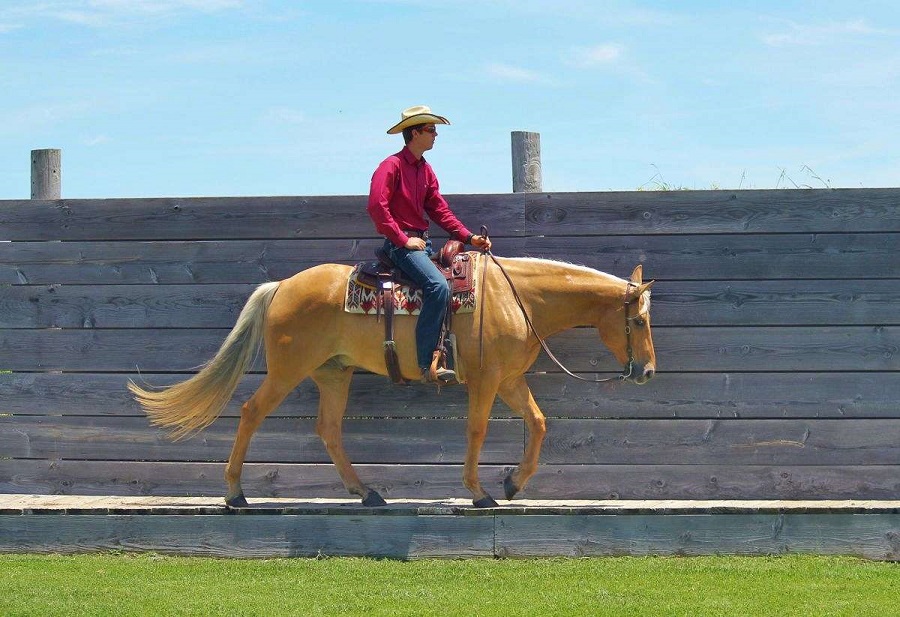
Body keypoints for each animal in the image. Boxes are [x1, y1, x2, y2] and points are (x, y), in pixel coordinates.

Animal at [128, 254, 656, 508]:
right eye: (641, 320)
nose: (647, 371)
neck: (516, 297)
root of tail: (281, 287)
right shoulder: (486, 381)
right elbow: (477, 430)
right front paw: (480, 491)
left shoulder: (509, 380)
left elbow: (540, 423)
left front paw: (511, 483)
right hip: (288, 370)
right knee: (251, 412)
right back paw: (235, 493)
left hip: (334, 373)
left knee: (329, 430)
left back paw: (367, 492)